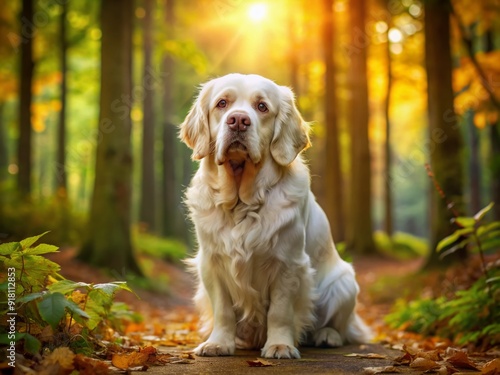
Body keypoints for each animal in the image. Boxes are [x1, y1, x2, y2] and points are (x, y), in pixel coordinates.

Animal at [181, 74, 372, 362]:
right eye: (222, 103)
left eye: (262, 107)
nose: (238, 120)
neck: (242, 203)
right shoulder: (211, 263)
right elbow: (223, 310)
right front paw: (218, 343)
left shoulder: (288, 264)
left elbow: (280, 312)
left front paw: (280, 345)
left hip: (344, 284)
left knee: (343, 328)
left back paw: (327, 336)